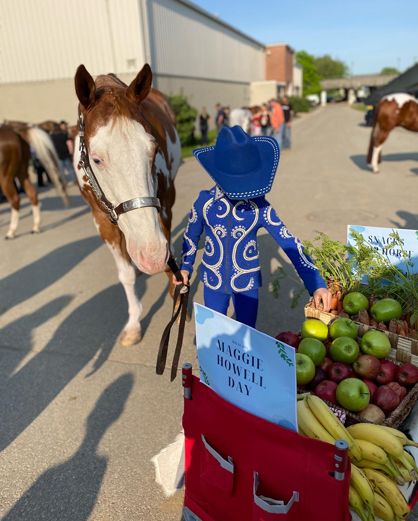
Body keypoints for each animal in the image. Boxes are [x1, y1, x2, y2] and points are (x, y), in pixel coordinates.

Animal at [73, 64, 181, 346]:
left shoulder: (164, 205)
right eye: (97, 159)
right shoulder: (102, 221)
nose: (151, 255)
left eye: (154, 150)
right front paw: (133, 324)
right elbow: (126, 275)